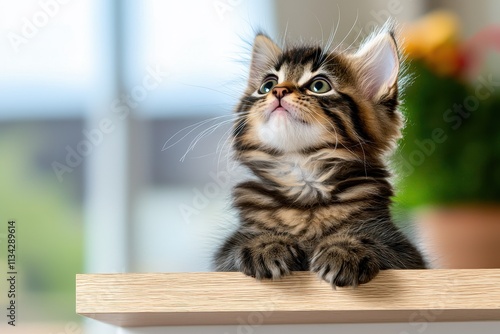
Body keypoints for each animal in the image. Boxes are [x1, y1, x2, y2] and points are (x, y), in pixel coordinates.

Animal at [214, 26, 426, 288]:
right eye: (267, 85)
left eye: (319, 86)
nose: (278, 91)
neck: (304, 181)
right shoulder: (223, 258)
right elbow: (239, 246)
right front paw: (266, 244)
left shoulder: (404, 252)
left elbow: (372, 240)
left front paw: (345, 249)